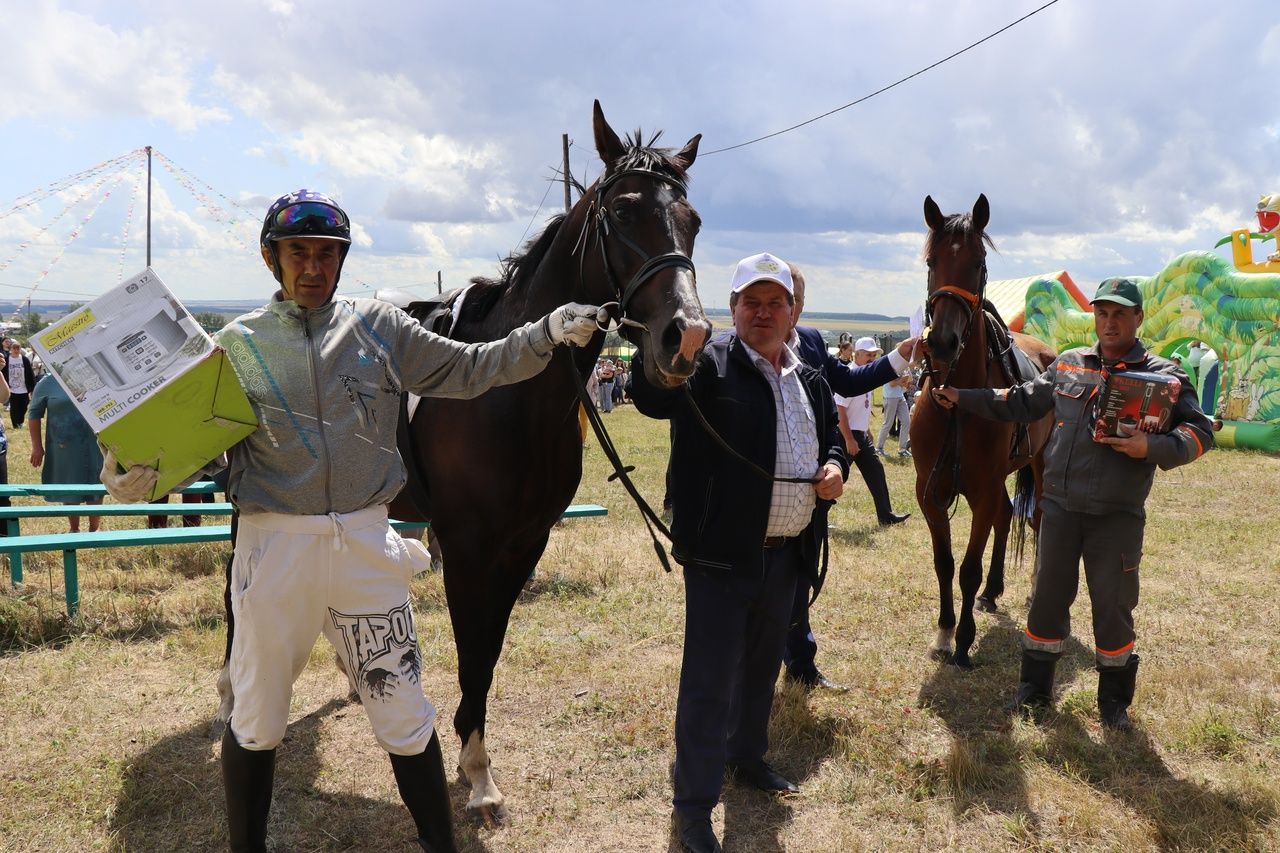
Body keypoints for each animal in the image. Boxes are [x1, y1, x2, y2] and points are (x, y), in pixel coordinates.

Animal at [389, 101, 711, 819]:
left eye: (693, 220)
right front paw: (476, 772)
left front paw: (472, 759)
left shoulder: (523, 544)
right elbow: (472, 650)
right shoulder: (468, 547)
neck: (501, 393)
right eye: (623, 212)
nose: (687, 338)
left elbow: (489, 653)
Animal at [916, 195, 1054, 666]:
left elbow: (967, 569)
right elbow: (944, 563)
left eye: (978, 263)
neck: (958, 401)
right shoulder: (931, 494)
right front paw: (943, 632)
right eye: (931, 262)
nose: (941, 342)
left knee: (1037, 520)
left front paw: (963, 642)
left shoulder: (981, 491)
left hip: (1038, 467)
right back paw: (994, 592)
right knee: (1007, 516)